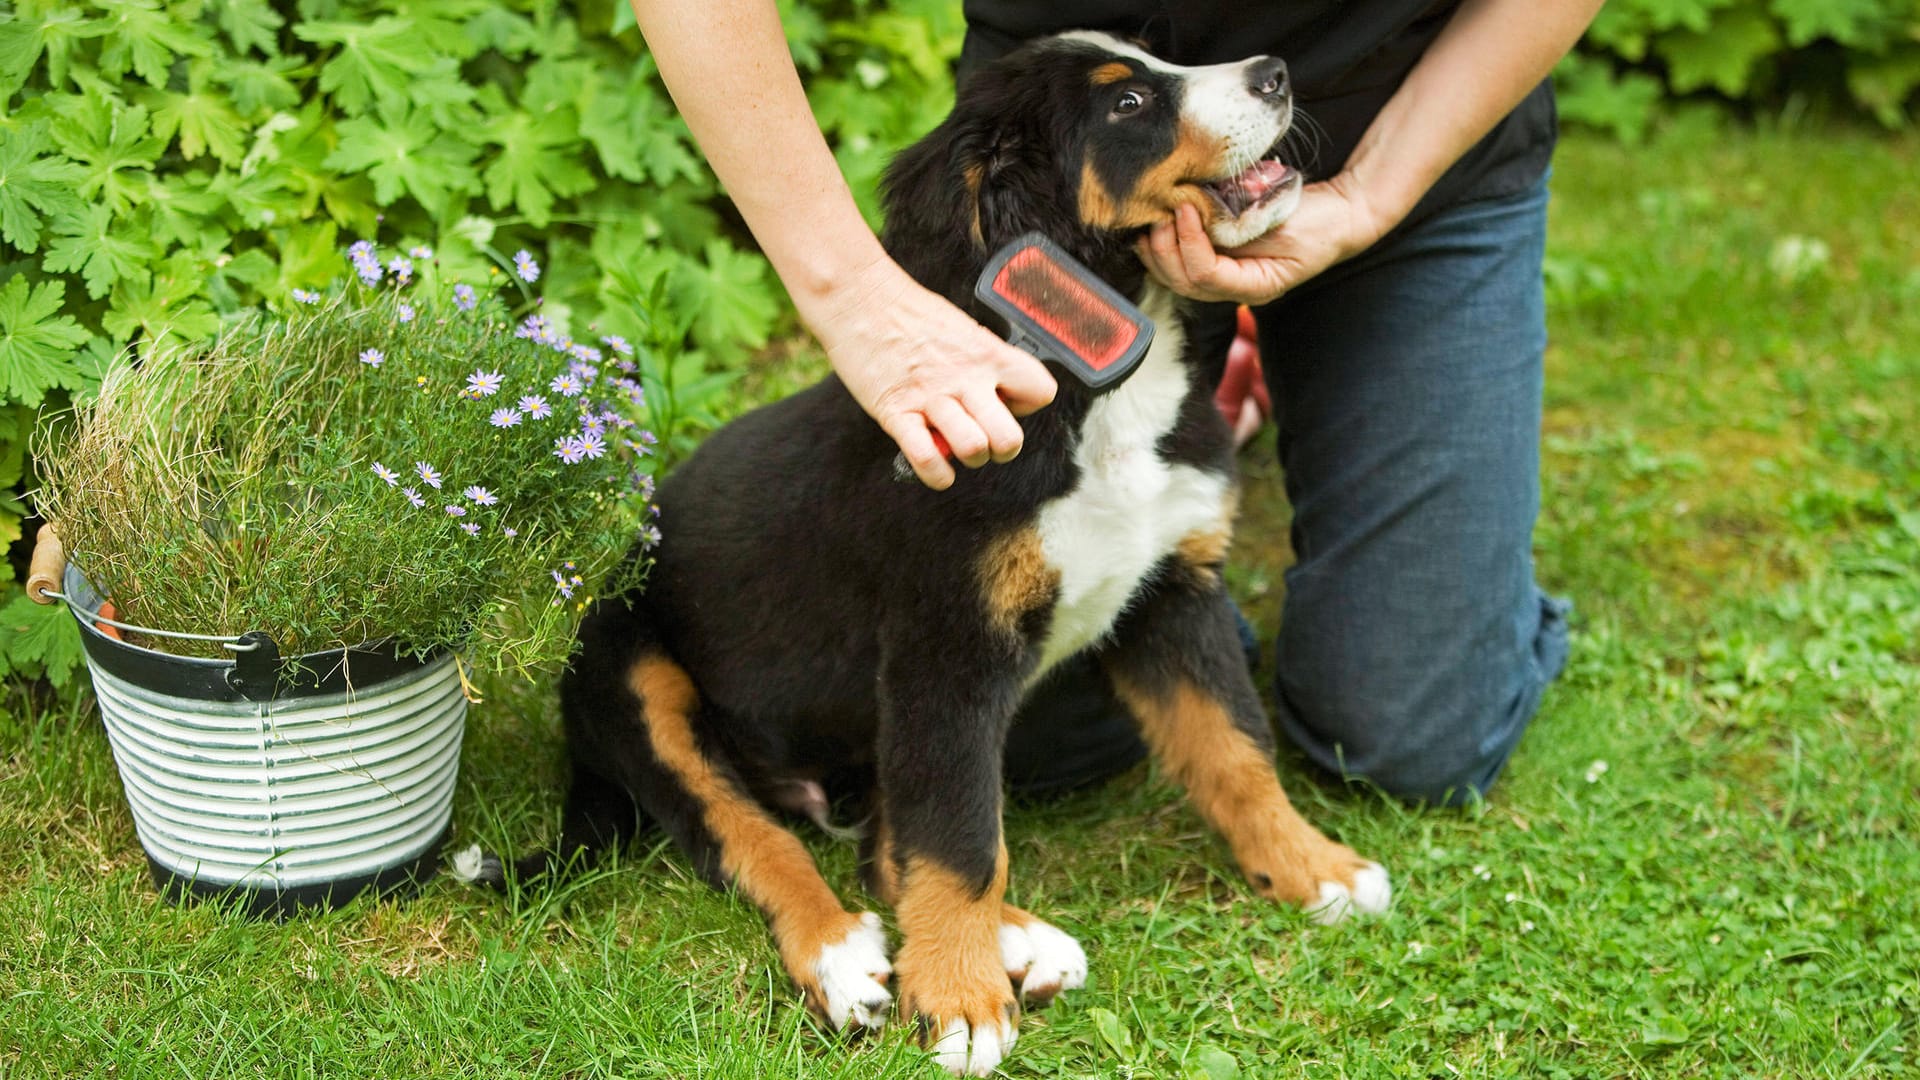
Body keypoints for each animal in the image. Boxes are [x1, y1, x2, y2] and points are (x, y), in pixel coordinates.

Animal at [458, 29, 1390, 1068]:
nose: (1274, 73)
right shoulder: (946, 650)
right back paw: (846, 959)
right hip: (632, 672)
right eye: (1128, 103)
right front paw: (960, 1004)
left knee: (880, 842)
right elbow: (962, 840)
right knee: (749, 835)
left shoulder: (1173, 593)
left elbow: (1234, 749)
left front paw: (1313, 869)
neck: (1094, 403)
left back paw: (1018, 941)